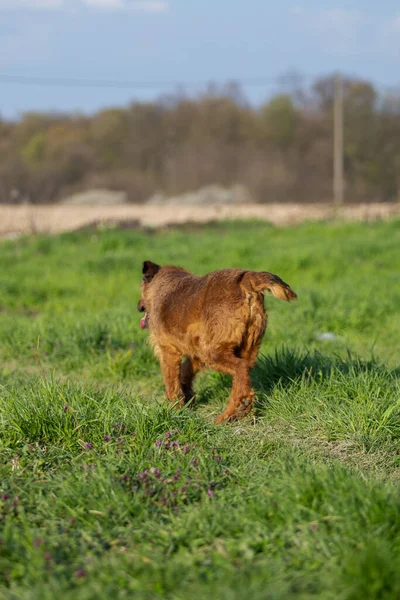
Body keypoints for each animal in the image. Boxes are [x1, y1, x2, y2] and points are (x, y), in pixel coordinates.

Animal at [138, 260, 296, 424]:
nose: (139, 306)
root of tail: (247, 279)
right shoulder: (197, 352)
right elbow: (185, 372)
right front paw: (187, 398)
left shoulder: (168, 350)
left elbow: (172, 383)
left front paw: (175, 410)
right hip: (247, 347)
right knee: (242, 377)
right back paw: (234, 412)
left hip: (213, 353)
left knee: (240, 368)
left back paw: (233, 411)